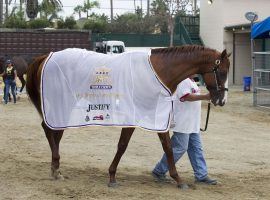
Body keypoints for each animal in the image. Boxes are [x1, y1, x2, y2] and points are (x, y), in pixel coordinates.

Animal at [26, 45, 231, 189]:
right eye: (222, 72)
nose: (221, 100)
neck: (159, 72)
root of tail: (47, 57)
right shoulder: (134, 115)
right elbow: (123, 145)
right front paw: (112, 177)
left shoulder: (157, 116)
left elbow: (168, 147)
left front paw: (178, 180)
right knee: (49, 129)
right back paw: (55, 168)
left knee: (56, 132)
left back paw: (56, 169)